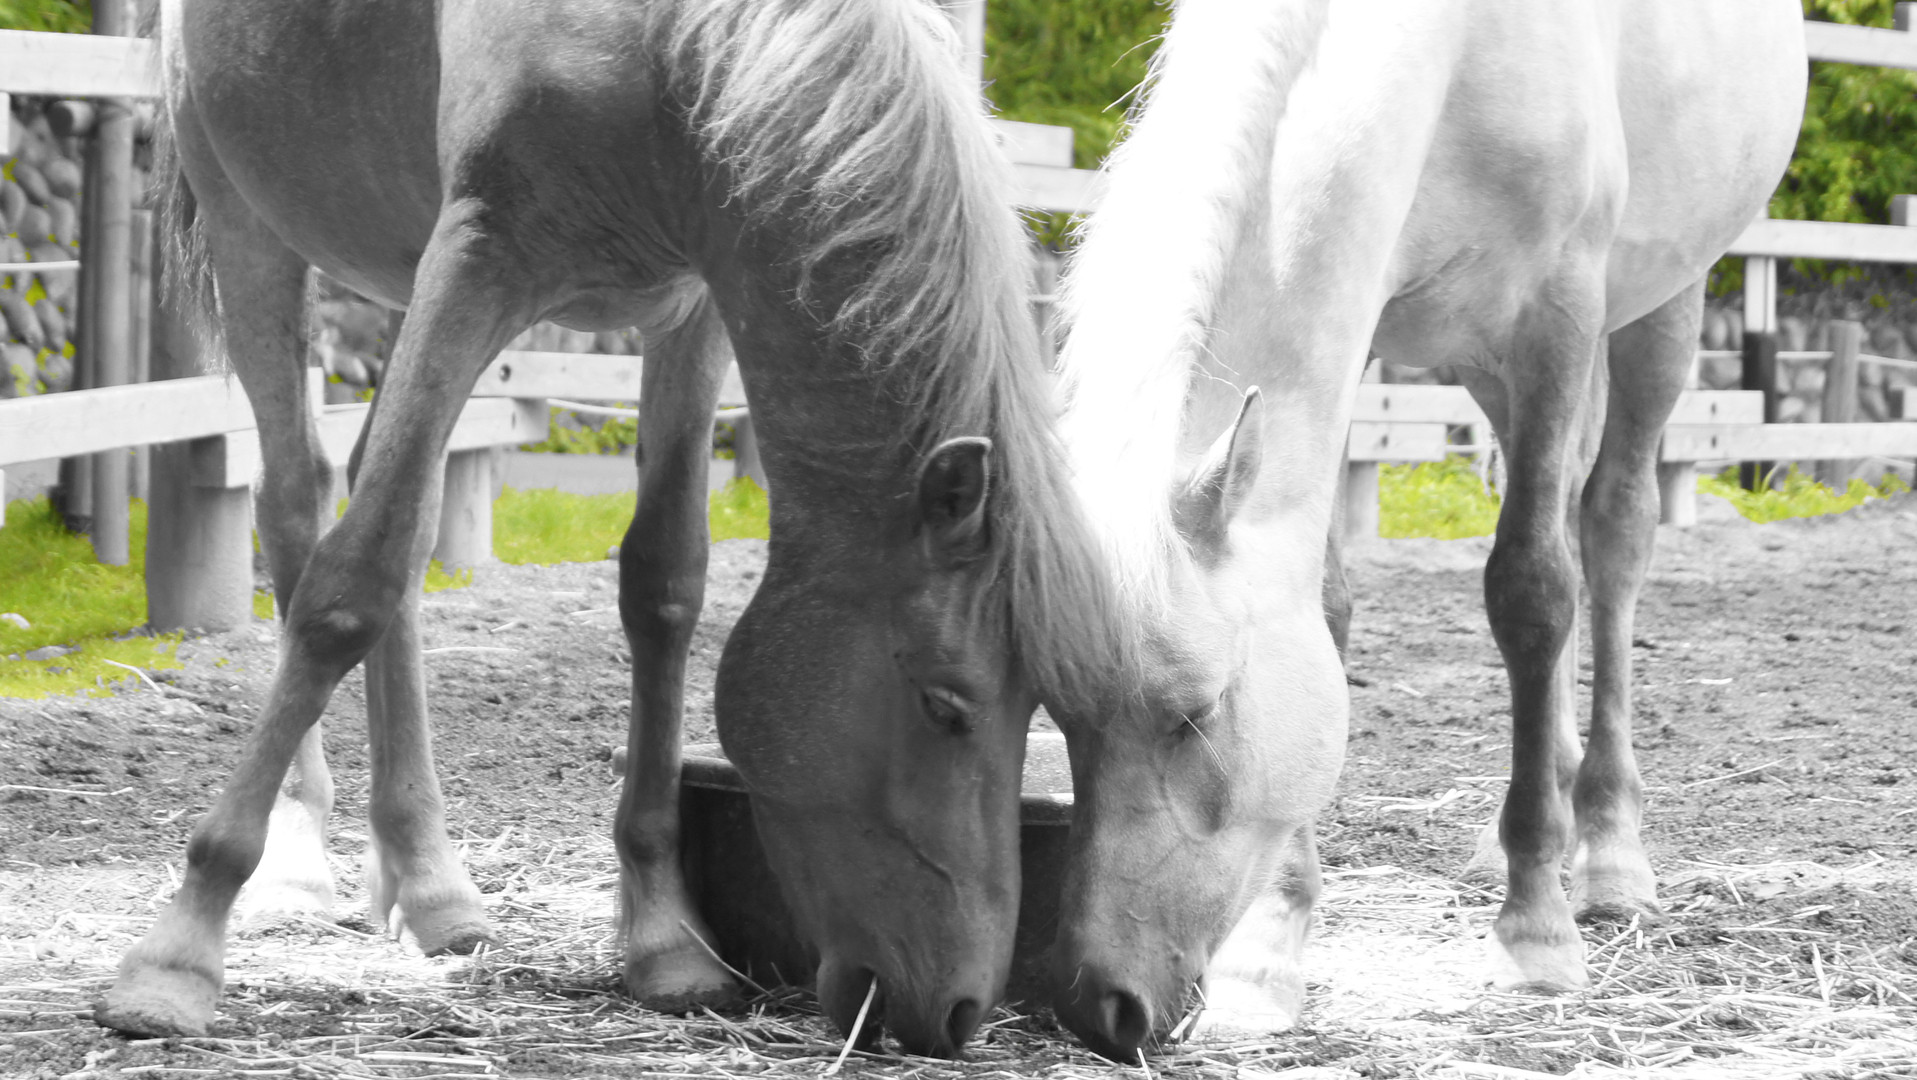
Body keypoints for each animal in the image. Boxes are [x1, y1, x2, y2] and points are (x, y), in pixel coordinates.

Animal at [94, 0, 1128, 1057]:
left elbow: (664, 585)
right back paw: (299, 863)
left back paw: (424, 882)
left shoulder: (696, 304)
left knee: (406, 521)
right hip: (253, 229)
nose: (958, 1012)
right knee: (298, 506)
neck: (675, 50)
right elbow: (350, 590)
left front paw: (663, 935)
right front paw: (176, 955)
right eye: (944, 704)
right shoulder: (477, 258)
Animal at [1042, 0, 1806, 1058]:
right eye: (1059, 717)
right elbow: (1328, 605)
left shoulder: (1556, 316)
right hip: (1490, 372)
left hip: (1659, 305)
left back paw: (1607, 852)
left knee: (1609, 538)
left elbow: (1531, 590)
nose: (1100, 1005)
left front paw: (1535, 931)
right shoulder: (1366, 339)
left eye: (1195, 714)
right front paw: (1268, 954)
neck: (1453, 53)